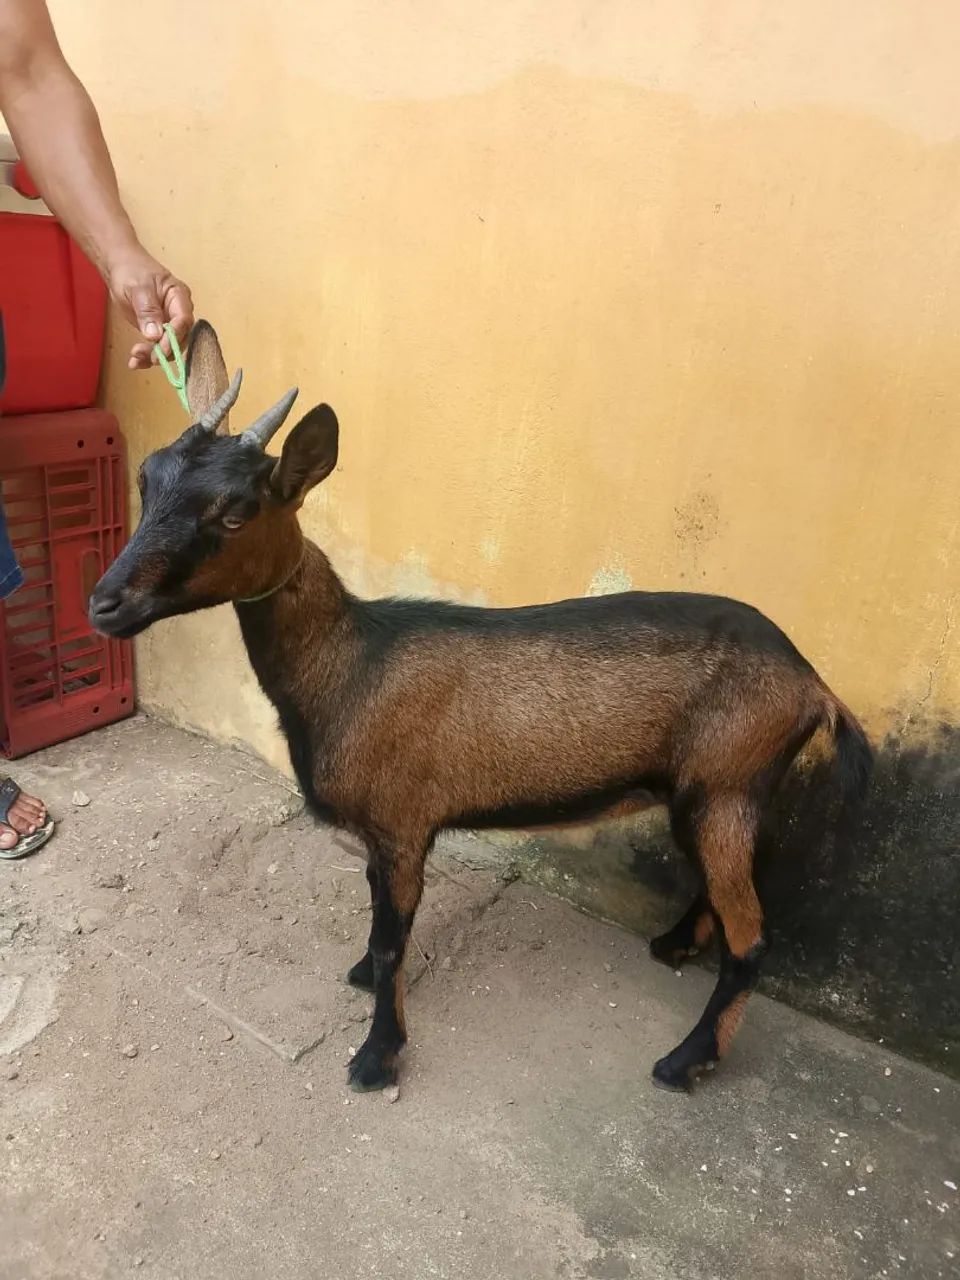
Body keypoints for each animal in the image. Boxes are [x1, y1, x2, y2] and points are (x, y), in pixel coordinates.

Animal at [90, 321, 872, 1095]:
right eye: (146, 477)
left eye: (234, 512)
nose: (105, 603)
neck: (353, 668)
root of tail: (813, 683)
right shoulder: (381, 833)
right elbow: (376, 922)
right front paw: (359, 977)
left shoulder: (403, 821)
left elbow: (392, 941)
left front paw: (377, 1055)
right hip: (716, 795)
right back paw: (675, 945)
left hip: (724, 783)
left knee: (754, 938)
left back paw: (687, 1060)